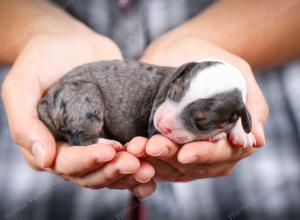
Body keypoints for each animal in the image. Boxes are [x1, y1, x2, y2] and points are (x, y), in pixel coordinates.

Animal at [38, 58, 255, 150]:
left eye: (202, 122)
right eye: (173, 91)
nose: (162, 124)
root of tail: (46, 99)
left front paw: (241, 133)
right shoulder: (154, 126)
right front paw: (215, 136)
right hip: (86, 95)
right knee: (79, 139)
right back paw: (108, 143)